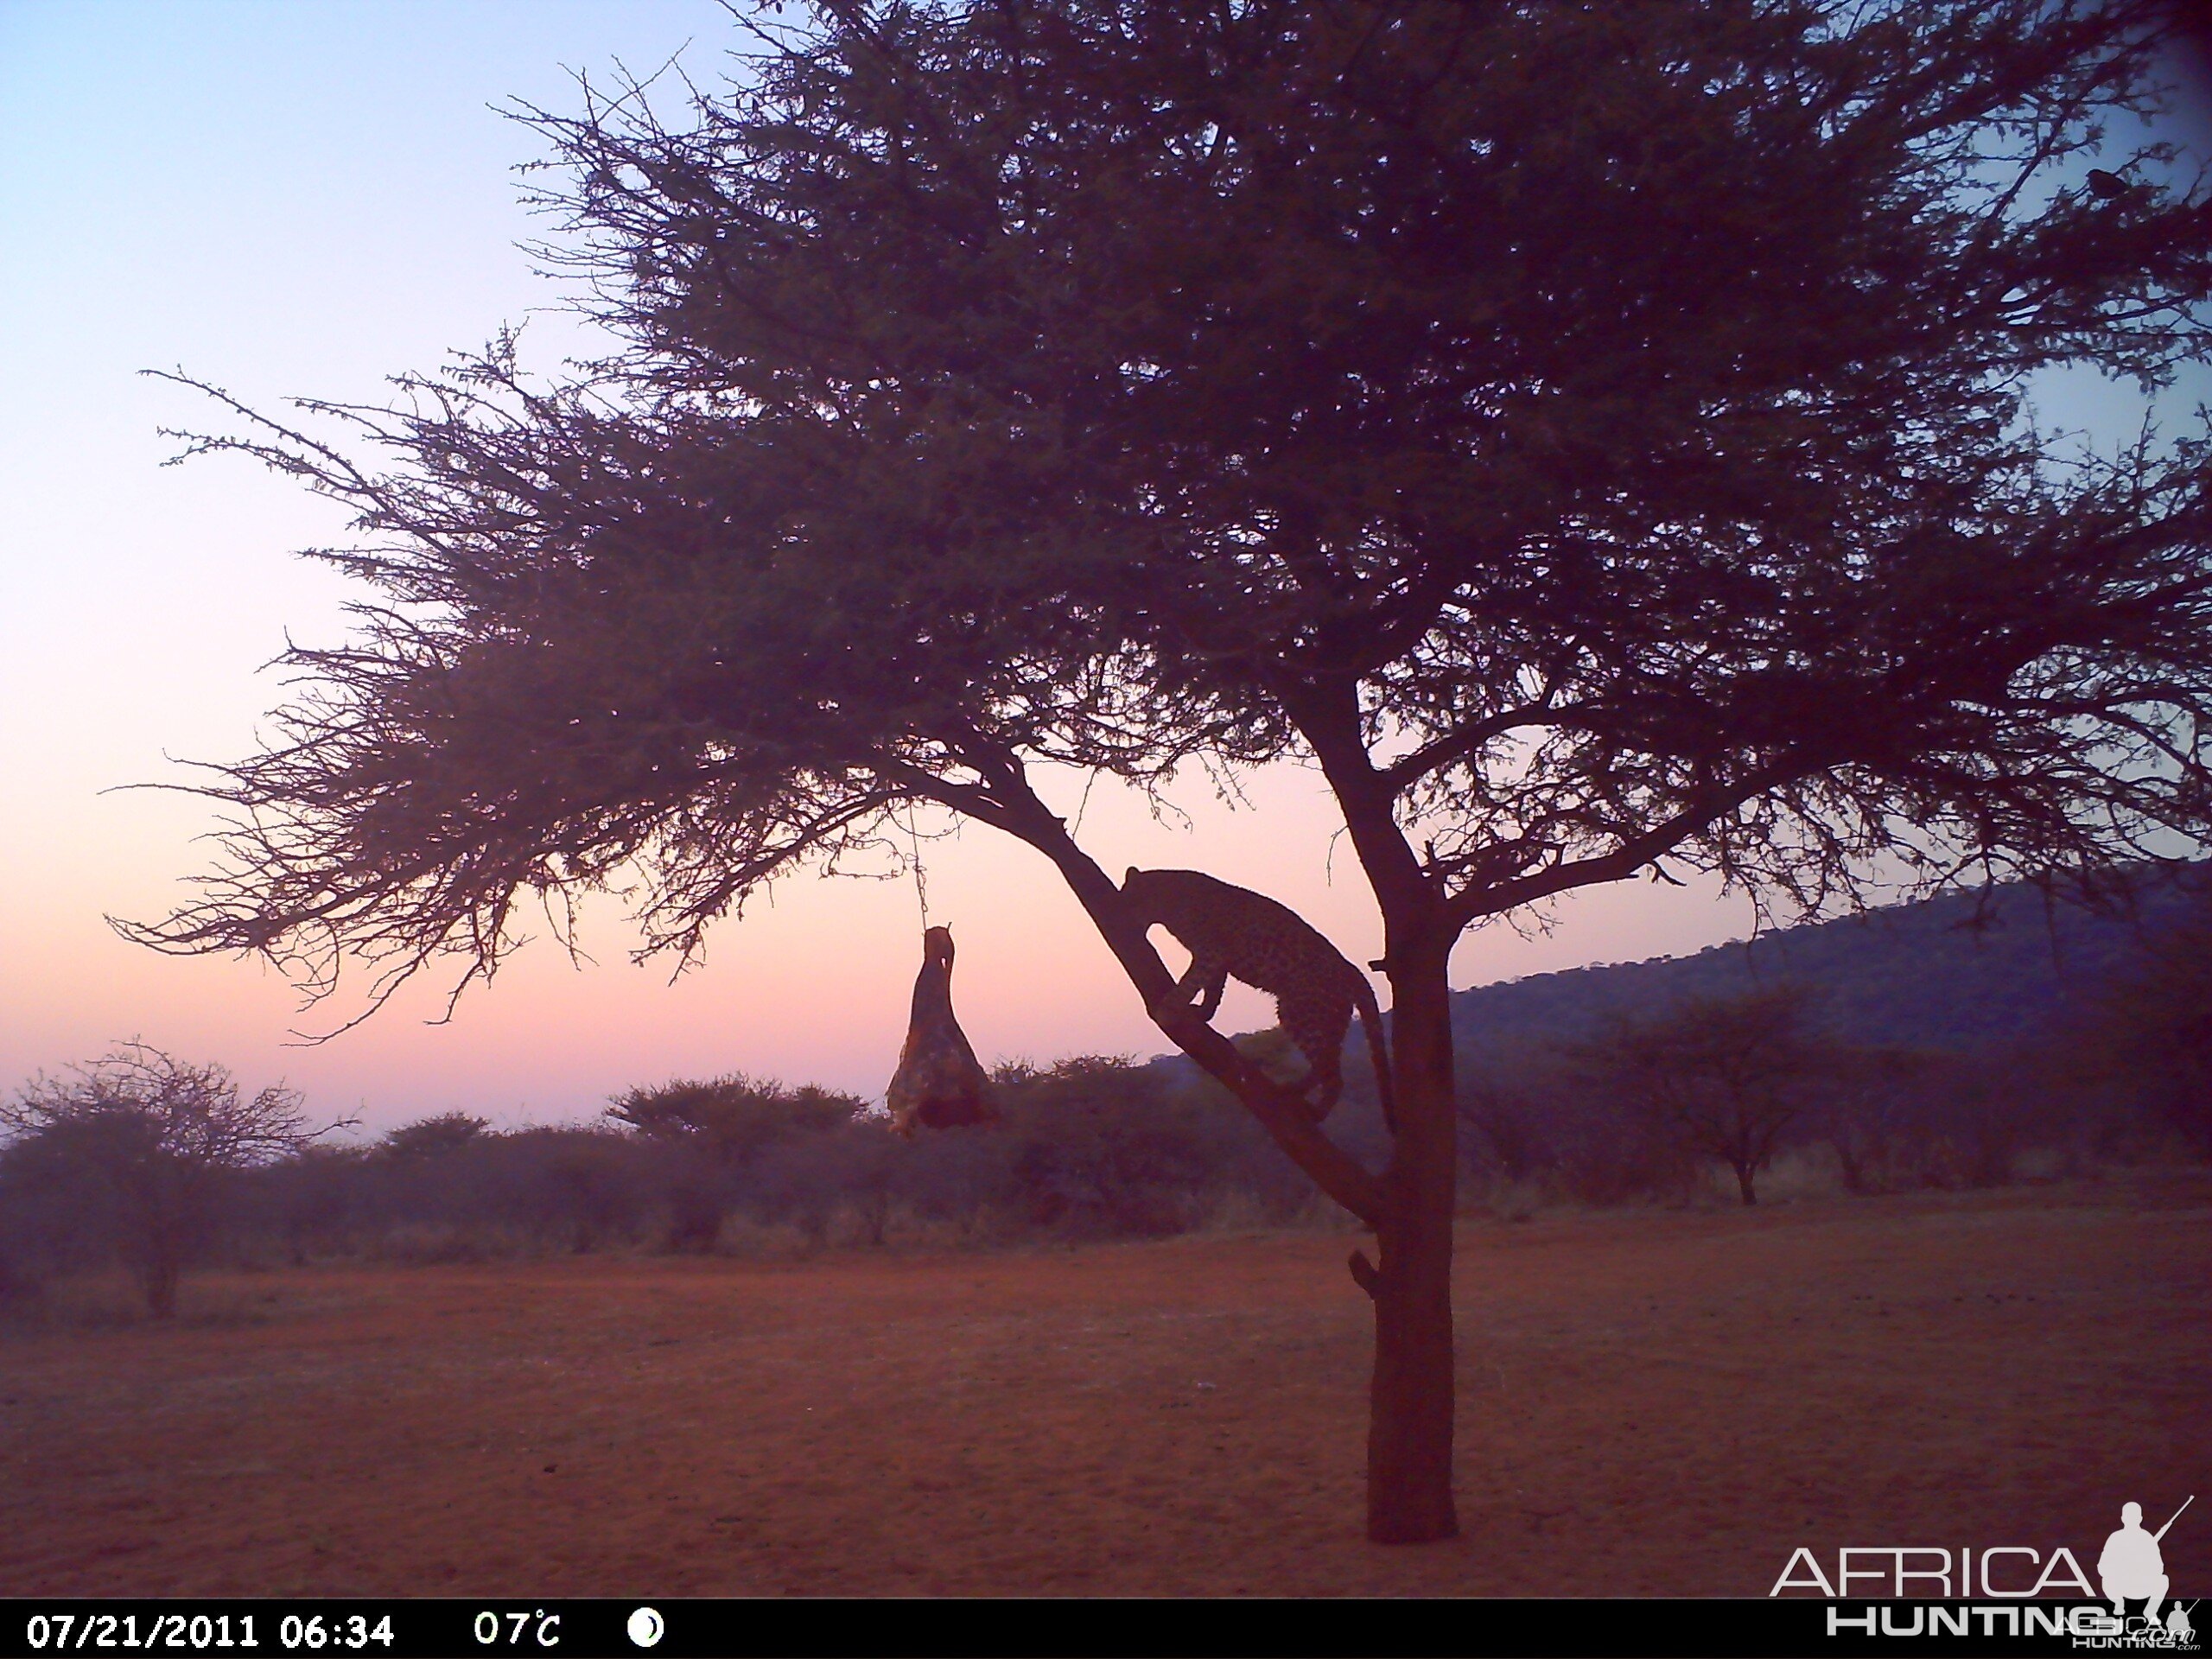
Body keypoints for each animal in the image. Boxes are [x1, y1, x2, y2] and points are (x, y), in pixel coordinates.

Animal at [1123, 871, 1397, 1132]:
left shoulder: (1210, 951)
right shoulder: (1218, 959)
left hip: (1301, 1010)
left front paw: (1169, 1008)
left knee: (1329, 1070)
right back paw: (1304, 1101)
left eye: (1132, 899)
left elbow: (1192, 980)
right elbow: (1214, 989)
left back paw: (1303, 1102)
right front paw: (1203, 1012)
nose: (1126, 917)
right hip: (1331, 1019)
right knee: (1330, 1067)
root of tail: (1352, 971)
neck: (1169, 898)